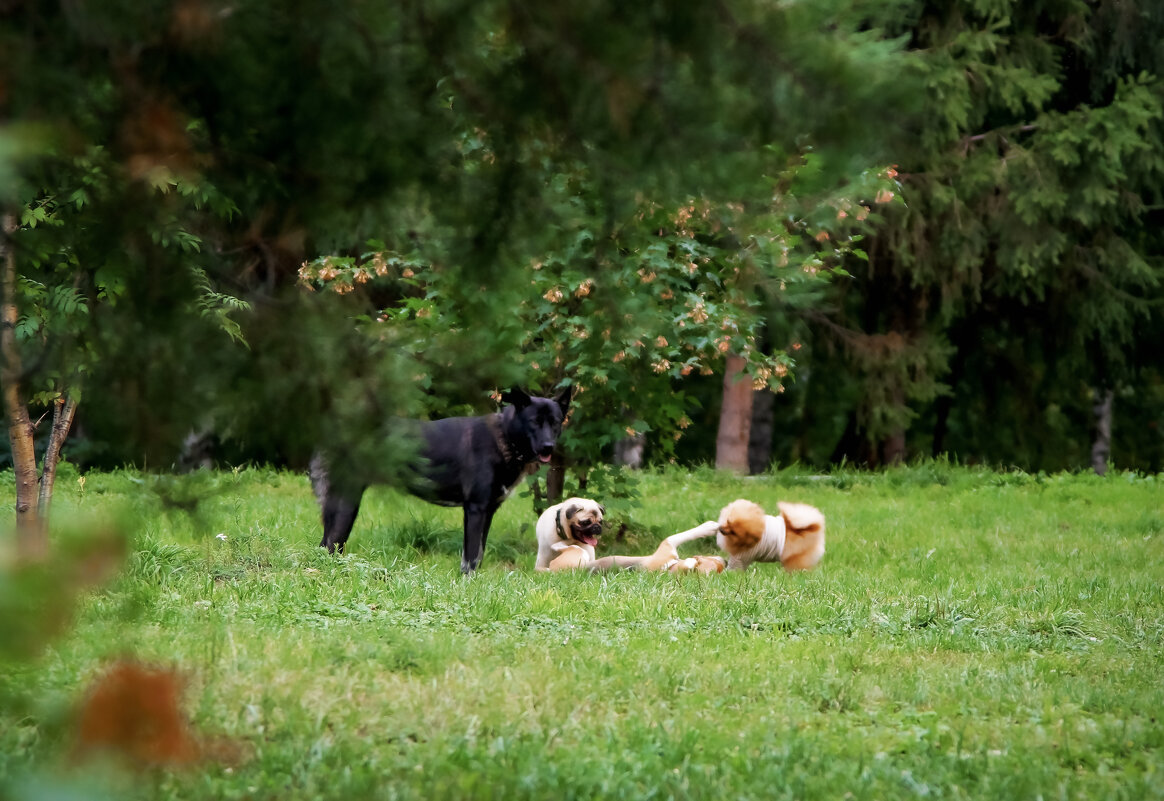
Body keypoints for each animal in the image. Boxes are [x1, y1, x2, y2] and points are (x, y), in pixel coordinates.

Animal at [311, 386, 570, 570]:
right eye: (534, 421)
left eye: (555, 423)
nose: (549, 447)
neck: (504, 436)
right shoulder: (475, 509)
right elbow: (470, 557)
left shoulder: (489, 511)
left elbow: (478, 554)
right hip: (346, 503)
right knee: (329, 546)